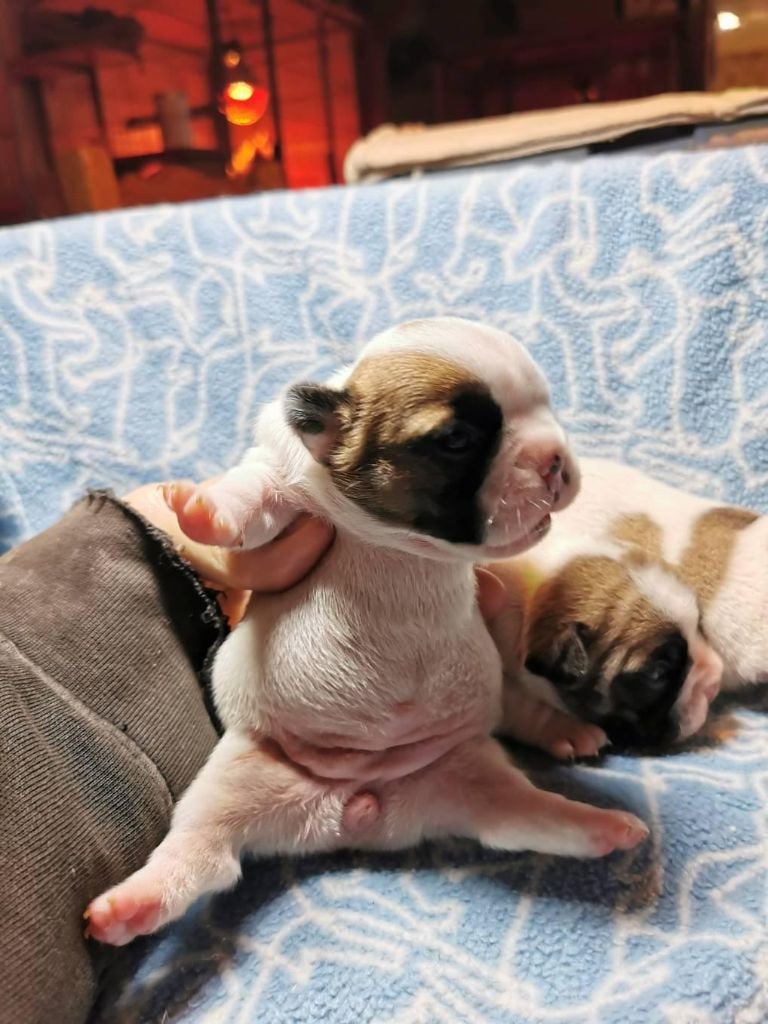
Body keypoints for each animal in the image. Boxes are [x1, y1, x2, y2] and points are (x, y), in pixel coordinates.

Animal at [85, 320, 648, 946]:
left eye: (548, 409)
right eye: (457, 438)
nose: (555, 458)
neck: (402, 544)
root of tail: (358, 814)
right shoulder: (279, 478)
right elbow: (248, 499)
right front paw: (201, 510)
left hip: (469, 772)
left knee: (523, 816)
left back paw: (602, 823)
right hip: (232, 782)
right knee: (201, 851)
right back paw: (133, 903)